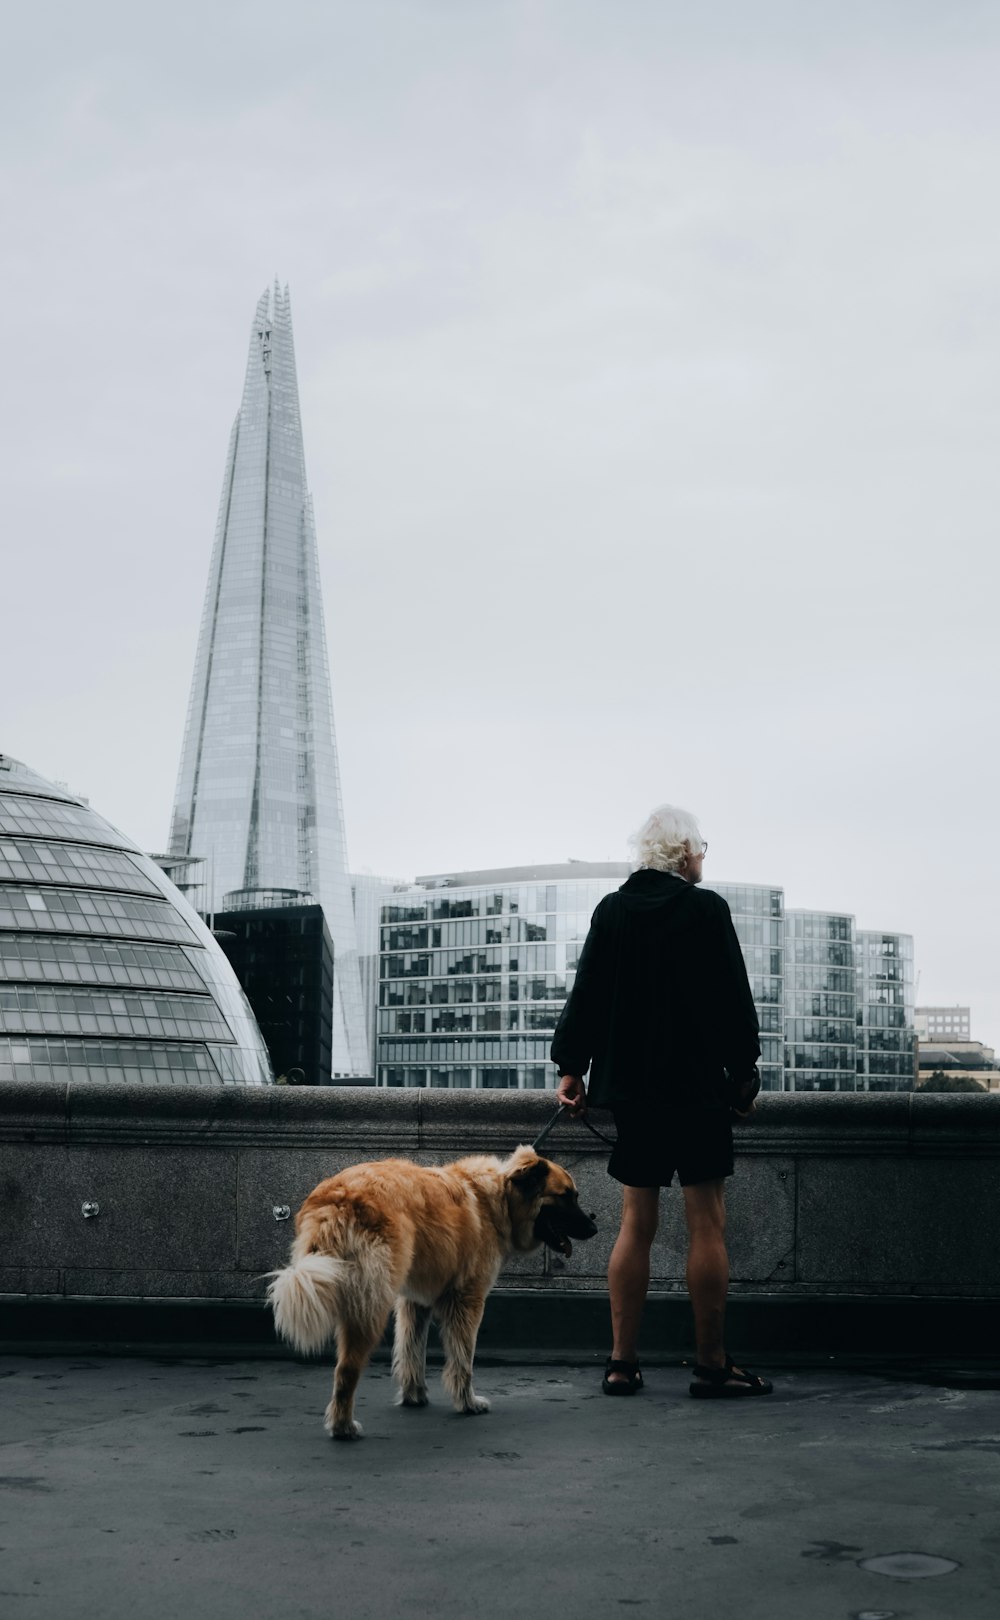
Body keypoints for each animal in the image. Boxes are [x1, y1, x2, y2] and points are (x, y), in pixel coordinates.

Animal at [265, 1140, 593, 1445]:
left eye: (574, 1195)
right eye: (565, 1196)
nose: (595, 1229)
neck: (498, 1200)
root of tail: (337, 1199)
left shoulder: (414, 1302)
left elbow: (412, 1352)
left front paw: (414, 1395)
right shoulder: (468, 1300)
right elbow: (463, 1359)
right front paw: (467, 1402)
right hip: (370, 1307)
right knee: (346, 1370)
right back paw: (343, 1427)